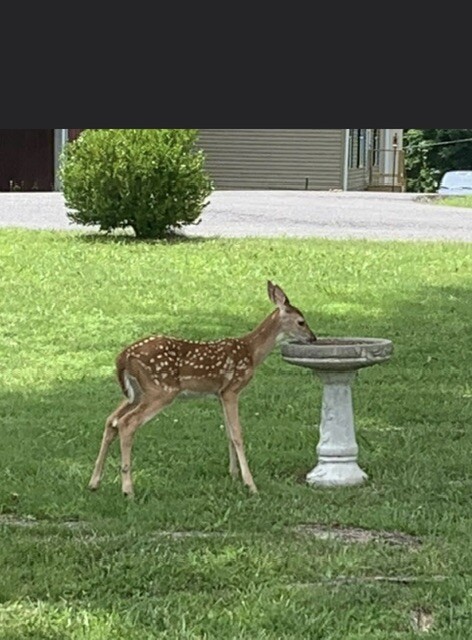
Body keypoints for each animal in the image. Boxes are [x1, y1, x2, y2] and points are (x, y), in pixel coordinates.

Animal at [88, 281, 317, 497]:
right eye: (301, 321)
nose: (313, 338)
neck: (251, 351)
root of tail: (123, 357)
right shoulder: (232, 389)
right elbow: (237, 434)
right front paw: (250, 484)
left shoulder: (219, 393)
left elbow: (228, 433)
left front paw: (233, 474)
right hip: (161, 389)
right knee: (127, 423)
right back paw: (128, 490)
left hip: (136, 393)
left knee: (111, 420)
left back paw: (94, 482)